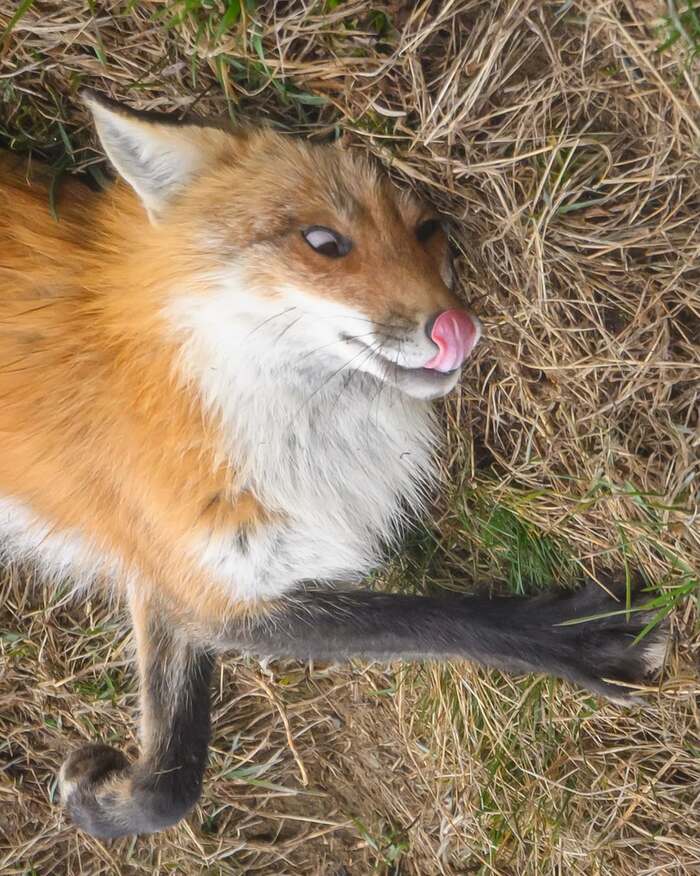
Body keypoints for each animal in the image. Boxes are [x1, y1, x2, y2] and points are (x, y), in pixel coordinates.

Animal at [0, 92, 667, 840]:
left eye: (428, 232)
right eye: (322, 242)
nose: (458, 328)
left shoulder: (176, 574)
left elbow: (173, 774)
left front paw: (106, 803)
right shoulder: (203, 576)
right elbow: (431, 622)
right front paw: (581, 638)